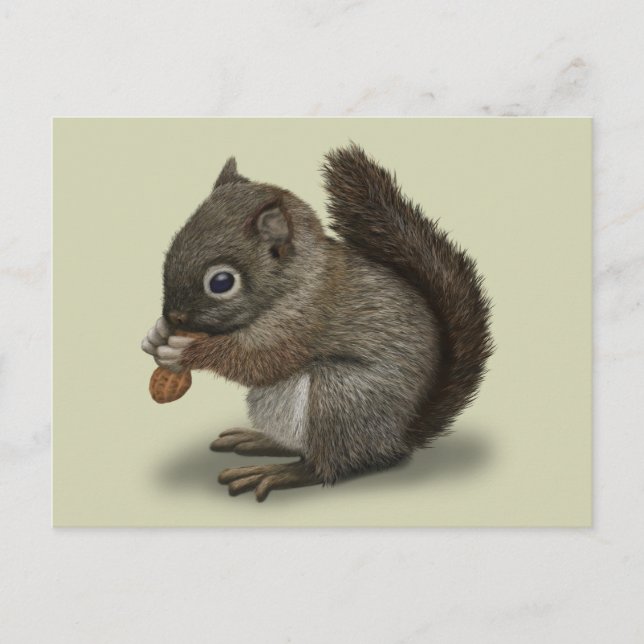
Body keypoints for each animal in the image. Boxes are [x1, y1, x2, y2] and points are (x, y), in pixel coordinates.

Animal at [141, 143, 493, 502]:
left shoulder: (304, 321)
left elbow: (257, 361)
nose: (174, 317)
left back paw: (276, 473)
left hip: (341, 399)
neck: (298, 279)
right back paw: (258, 440)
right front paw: (156, 336)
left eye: (222, 282)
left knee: (327, 466)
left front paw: (183, 352)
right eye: (172, 248)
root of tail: (398, 437)